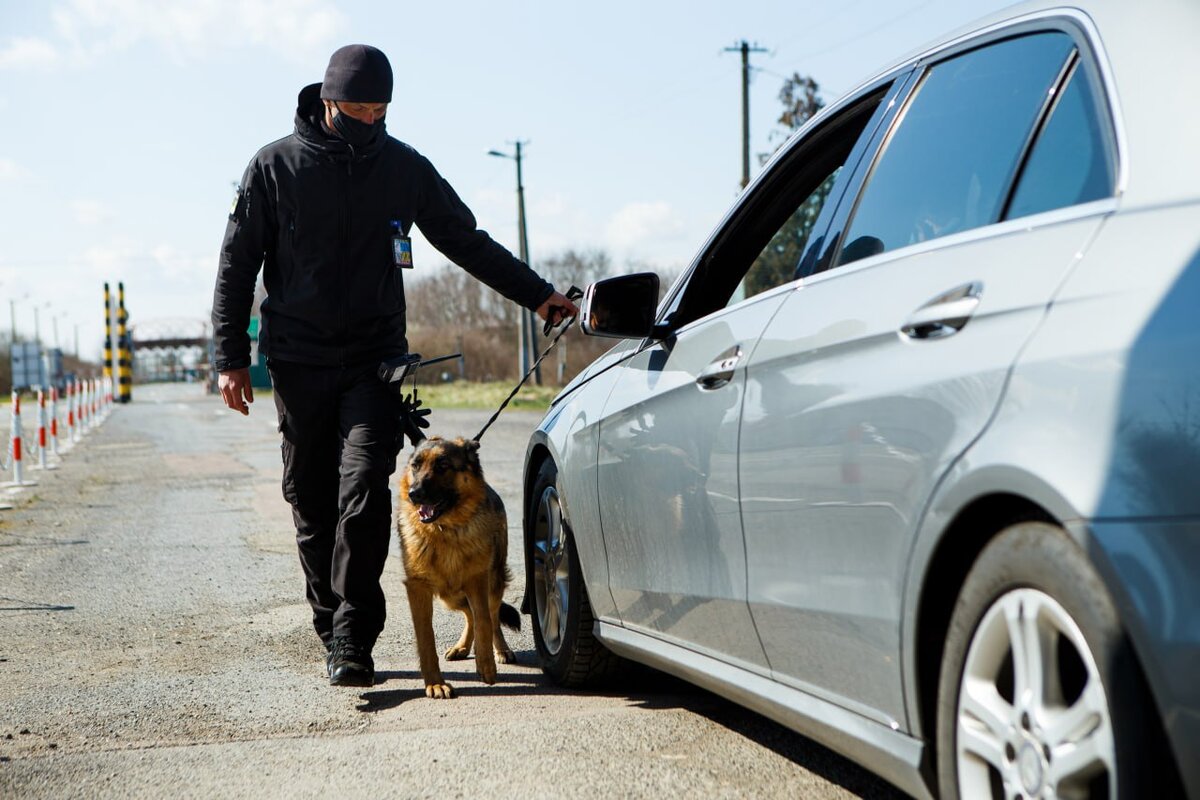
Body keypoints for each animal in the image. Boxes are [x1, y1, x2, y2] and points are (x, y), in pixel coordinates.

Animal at [398, 434, 520, 695]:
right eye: (416, 465)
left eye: (443, 466)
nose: (415, 494)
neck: (444, 530)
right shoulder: (418, 589)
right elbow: (426, 636)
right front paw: (435, 683)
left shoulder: (478, 579)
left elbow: (484, 619)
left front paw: (486, 665)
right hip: (450, 595)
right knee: (469, 614)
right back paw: (462, 647)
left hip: (493, 583)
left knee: (491, 615)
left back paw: (500, 649)